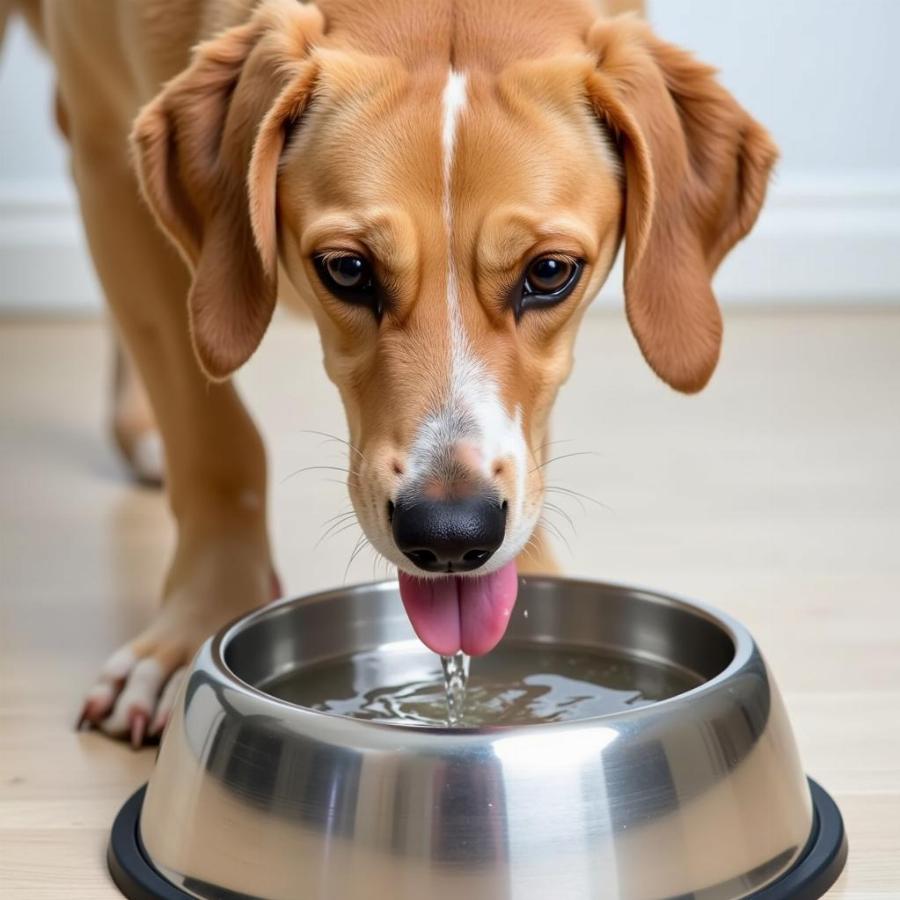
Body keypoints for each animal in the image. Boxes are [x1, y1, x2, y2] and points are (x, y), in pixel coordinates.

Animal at [7, 0, 772, 744]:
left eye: (551, 272)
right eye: (347, 269)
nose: (452, 534)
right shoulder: (111, 170)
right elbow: (212, 438)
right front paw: (199, 622)